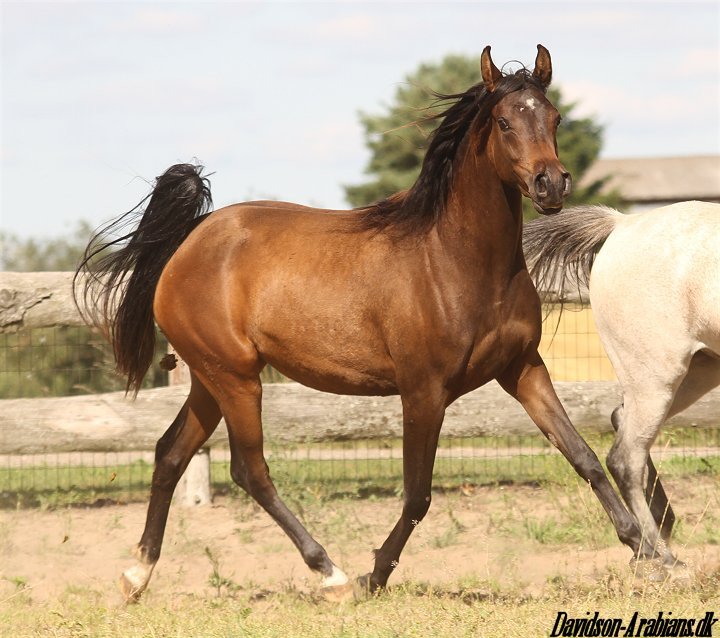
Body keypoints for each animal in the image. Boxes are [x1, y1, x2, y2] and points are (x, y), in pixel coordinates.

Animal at [75, 45, 653, 602]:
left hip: (208, 379)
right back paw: (329, 574)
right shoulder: (424, 391)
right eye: (505, 121)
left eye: (555, 118)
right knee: (250, 470)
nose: (550, 184)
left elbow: (583, 456)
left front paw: (649, 553)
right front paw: (373, 577)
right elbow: (418, 495)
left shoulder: (523, 369)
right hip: (235, 379)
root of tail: (190, 241)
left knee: (169, 454)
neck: (456, 261)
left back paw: (135, 577)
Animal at [524, 200, 720, 571]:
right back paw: (661, 557)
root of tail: (622, 224)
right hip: (657, 377)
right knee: (625, 458)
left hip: (698, 370)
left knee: (621, 420)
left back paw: (661, 529)